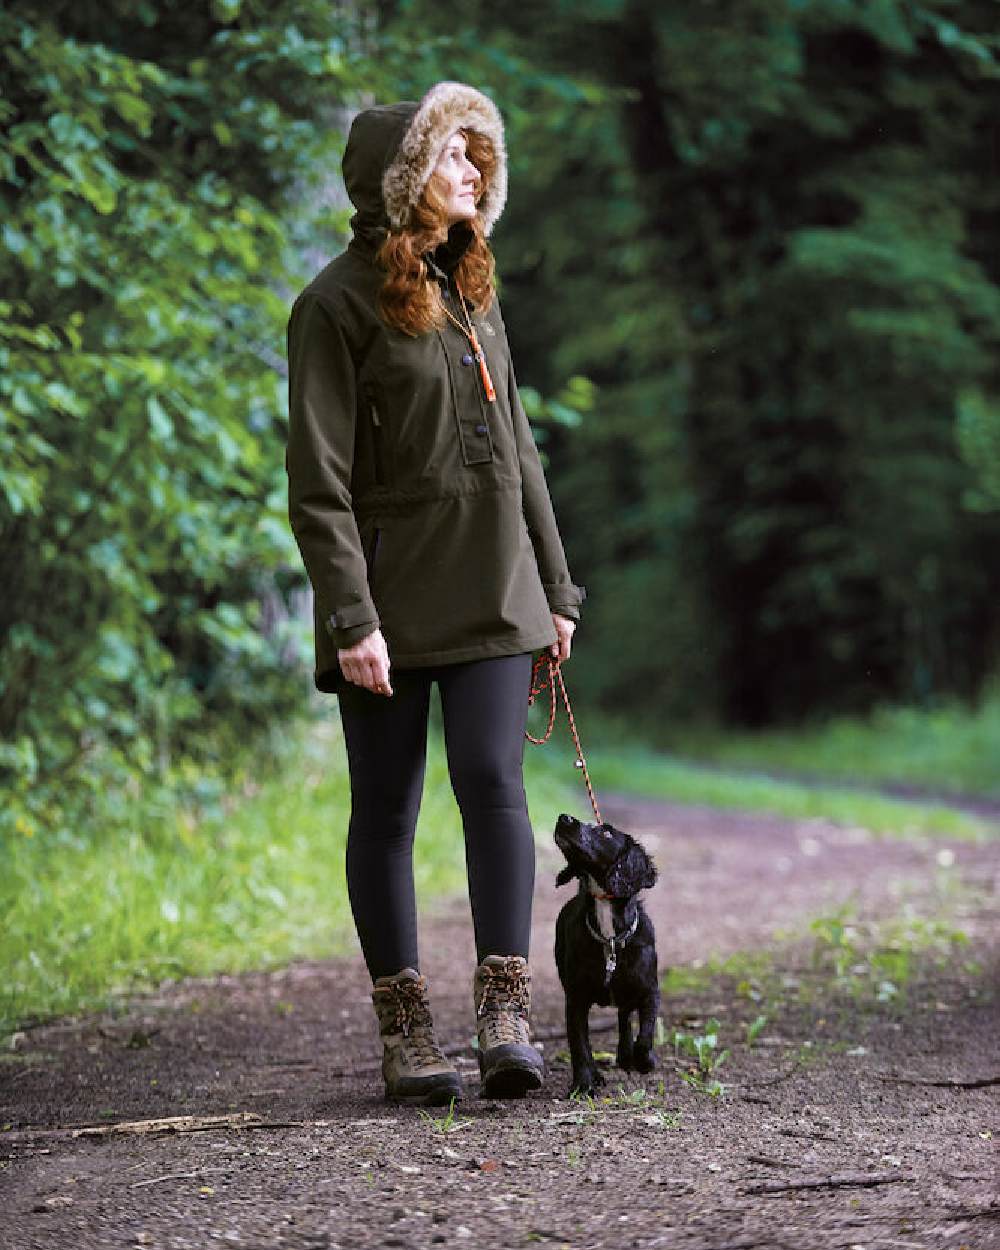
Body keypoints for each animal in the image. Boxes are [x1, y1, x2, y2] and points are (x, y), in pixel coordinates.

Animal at [550, 810, 660, 1095]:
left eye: (607, 833)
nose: (564, 817)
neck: (609, 935)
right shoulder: (575, 998)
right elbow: (579, 1044)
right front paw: (584, 1083)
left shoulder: (650, 990)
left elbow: (646, 1033)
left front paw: (644, 1061)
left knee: (624, 1015)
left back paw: (626, 1055)